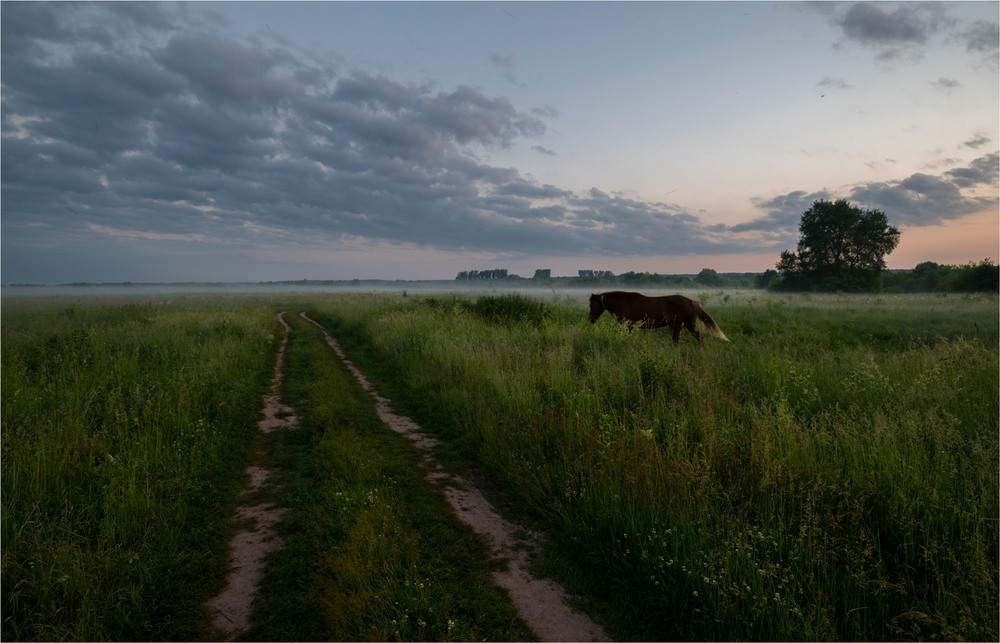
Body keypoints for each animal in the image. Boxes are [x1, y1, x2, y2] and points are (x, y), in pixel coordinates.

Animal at [584, 290, 728, 344]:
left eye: (591, 305)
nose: (590, 319)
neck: (622, 302)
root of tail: (690, 301)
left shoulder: (629, 326)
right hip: (688, 325)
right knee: (700, 338)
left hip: (677, 326)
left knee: (676, 341)